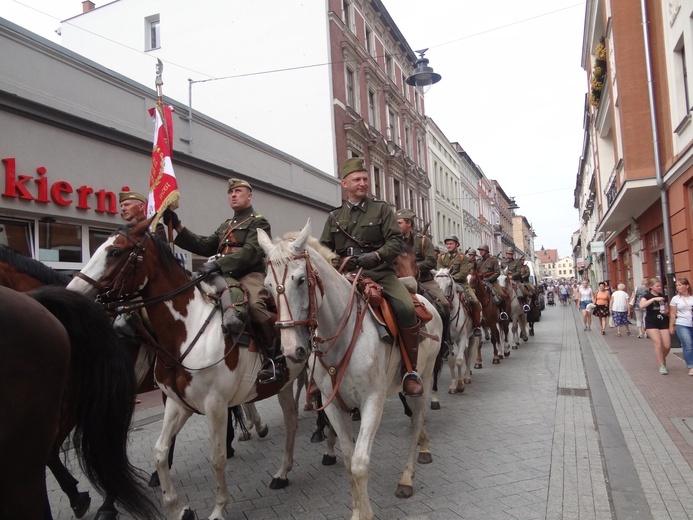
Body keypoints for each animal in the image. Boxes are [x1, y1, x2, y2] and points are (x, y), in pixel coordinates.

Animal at [69, 219, 304, 520]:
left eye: (115, 252)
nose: (74, 290)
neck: (189, 330)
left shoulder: (215, 405)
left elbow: (217, 458)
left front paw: (218, 508)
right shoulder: (177, 402)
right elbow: (159, 451)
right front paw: (177, 508)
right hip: (284, 384)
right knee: (291, 419)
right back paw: (282, 472)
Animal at [256, 220, 440, 520]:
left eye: (301, 279)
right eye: (269, 287)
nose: (292, 349)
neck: (341, 335)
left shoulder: (372, 402)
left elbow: (360, 463)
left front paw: (366, 512)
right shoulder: (333, 405)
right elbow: (347, 460)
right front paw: (358, 510)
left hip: (423, 380)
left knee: (416, 423)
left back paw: (407, 478)